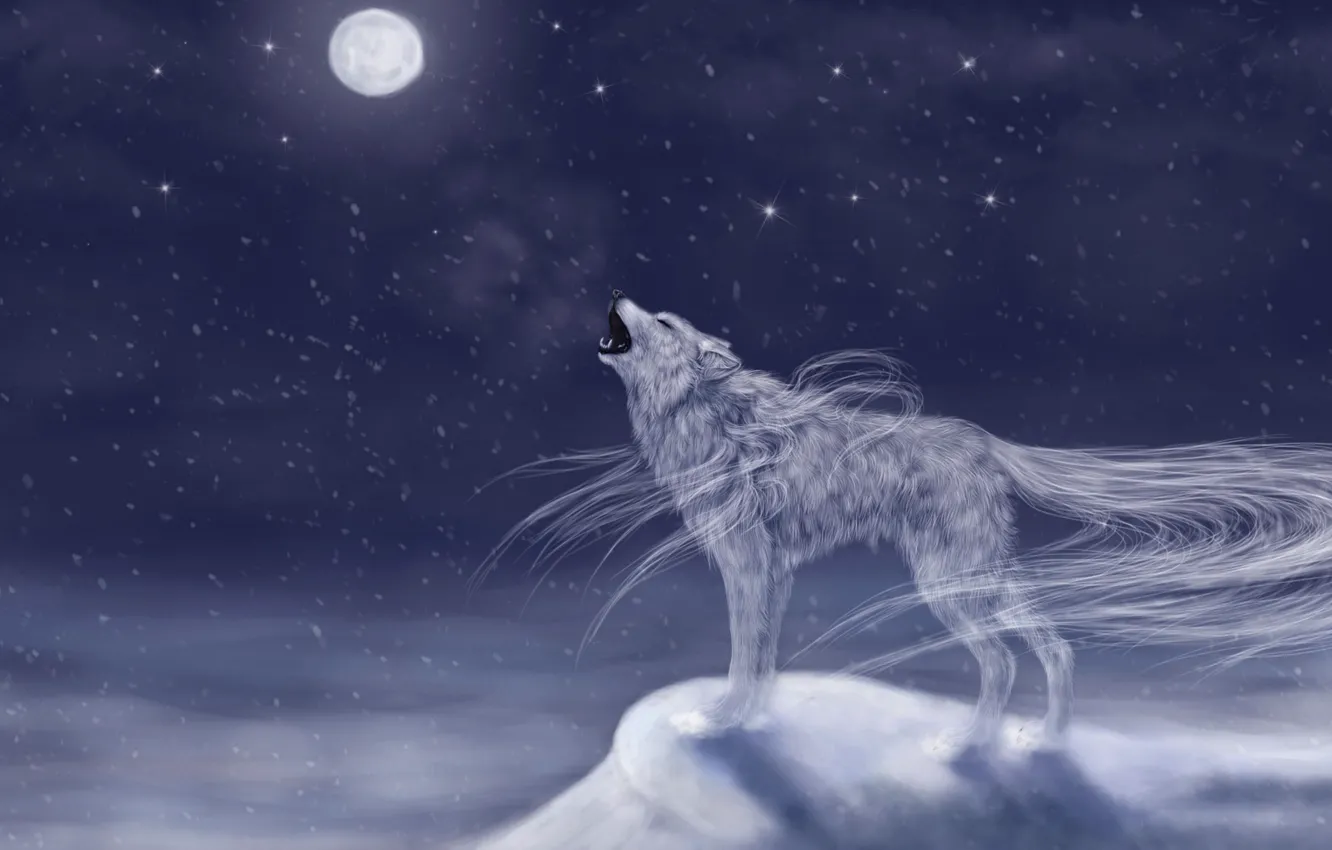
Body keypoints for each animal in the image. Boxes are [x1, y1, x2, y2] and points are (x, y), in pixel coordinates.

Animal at [482, 292, 1332, 755]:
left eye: (659, 319)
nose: (617, 289)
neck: (707, 415)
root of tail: (986, 440)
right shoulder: (770, 573)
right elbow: (762, 658)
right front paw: (752, 721)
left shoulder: (748, 566)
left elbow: (742, 655)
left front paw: (719, 723)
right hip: (987, 573)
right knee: (1053, 647)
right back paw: (1045, 741)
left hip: (949, 583)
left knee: (1002, 660)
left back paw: (968, 743)